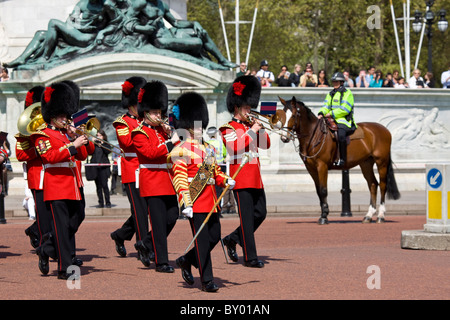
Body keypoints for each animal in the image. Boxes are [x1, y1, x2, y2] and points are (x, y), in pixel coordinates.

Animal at [278, 96, 400, 224]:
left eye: (293, 115)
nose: (284, 137)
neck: (313, 135)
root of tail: (385, 130)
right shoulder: (311, 169)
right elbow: (318, 191)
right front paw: (323, 214)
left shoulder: (322, 166)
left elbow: (323, 190)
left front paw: (324, 216)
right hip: (366, 163)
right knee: (372, 184)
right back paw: (368, 215)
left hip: (382, 162)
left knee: (382, 185)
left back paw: (381, 215)